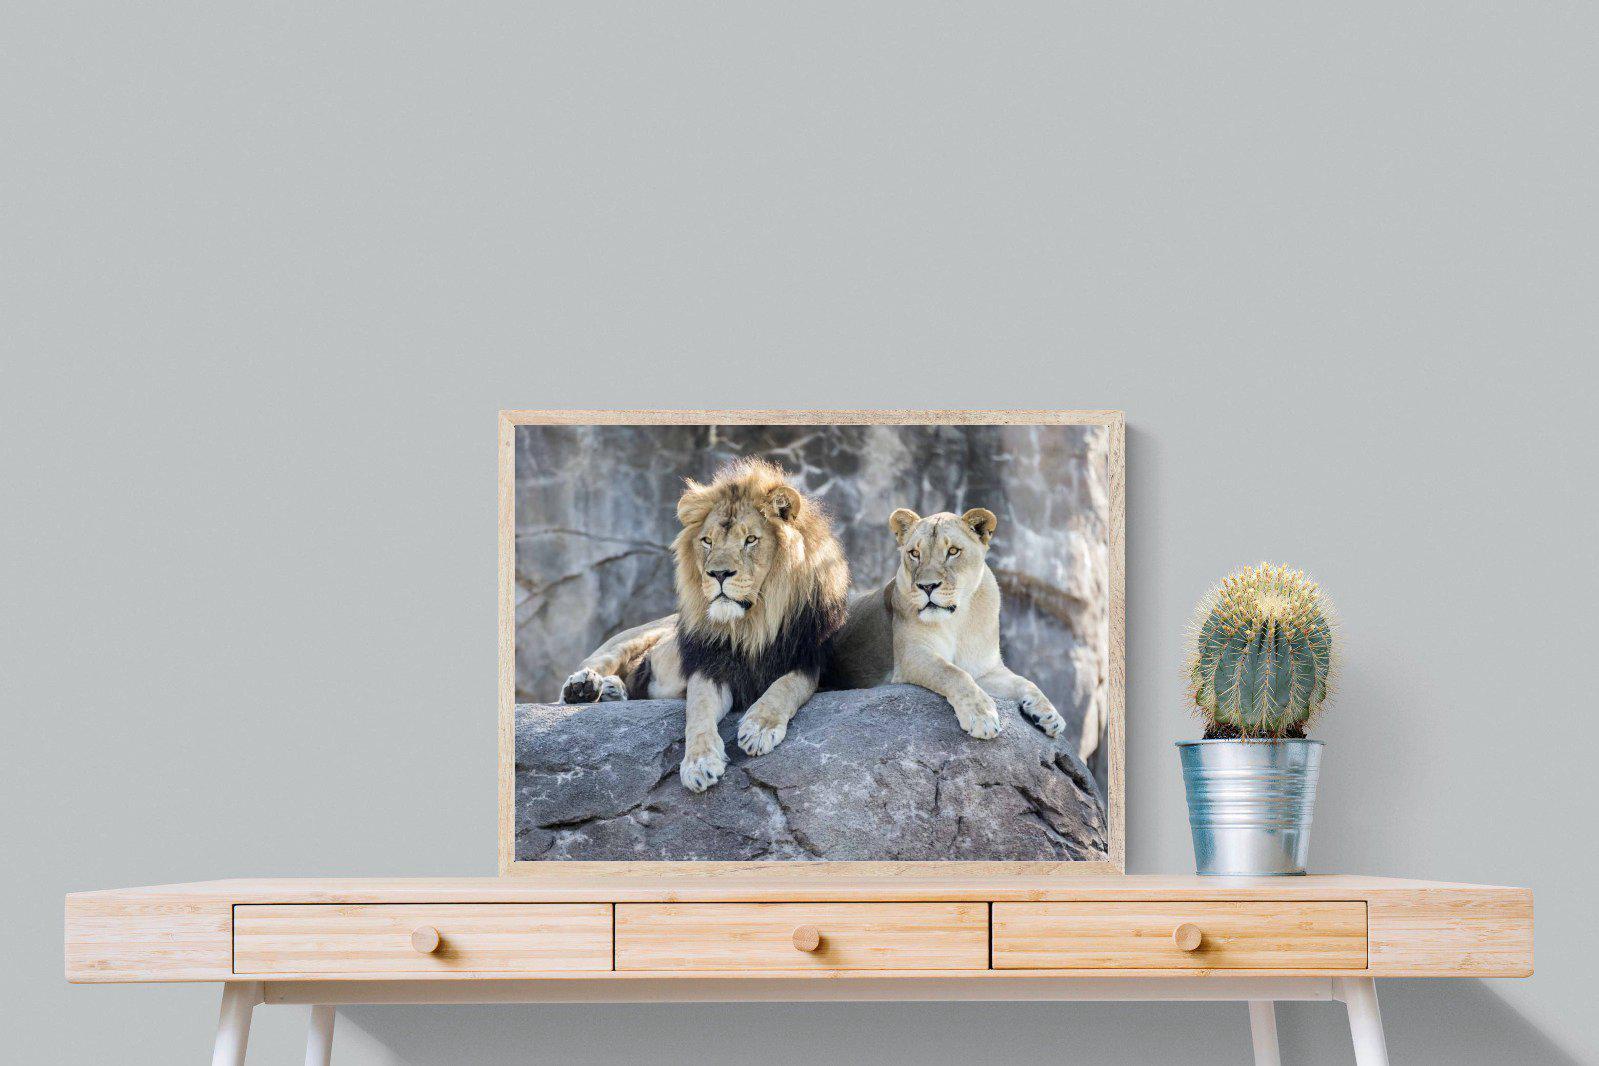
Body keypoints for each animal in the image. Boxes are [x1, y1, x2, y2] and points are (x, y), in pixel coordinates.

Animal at [558, 458, 850, 793]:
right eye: (707, 541)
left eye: (750, 540)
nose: (718, 574)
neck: (751, 625)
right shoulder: (710, 665)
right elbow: (698, 711)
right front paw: (699, 763)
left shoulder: (809, 661)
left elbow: (785, 687)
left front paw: (759, 728)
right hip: (635, 636)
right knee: (595, 663)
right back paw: (583, 687)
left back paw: (611, 690)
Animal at [824, 506, 1070, 745]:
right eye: (915, 553)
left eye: (953, 551)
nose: (927, 586)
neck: (958, 620)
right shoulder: (912, 656)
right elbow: (953, 673)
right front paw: (982, 717)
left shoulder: (985, 669)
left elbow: (1026, 682)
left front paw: (1050, 715)